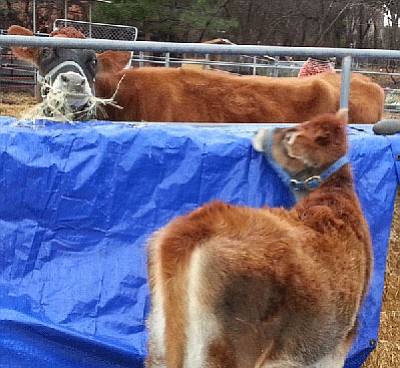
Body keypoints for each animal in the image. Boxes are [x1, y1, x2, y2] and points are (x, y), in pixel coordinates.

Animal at [145, 110, 374, 368]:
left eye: (290, 134)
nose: (260, 131)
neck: (335, 193)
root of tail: (199, 224)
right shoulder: (341, 340)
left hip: (158, 338)